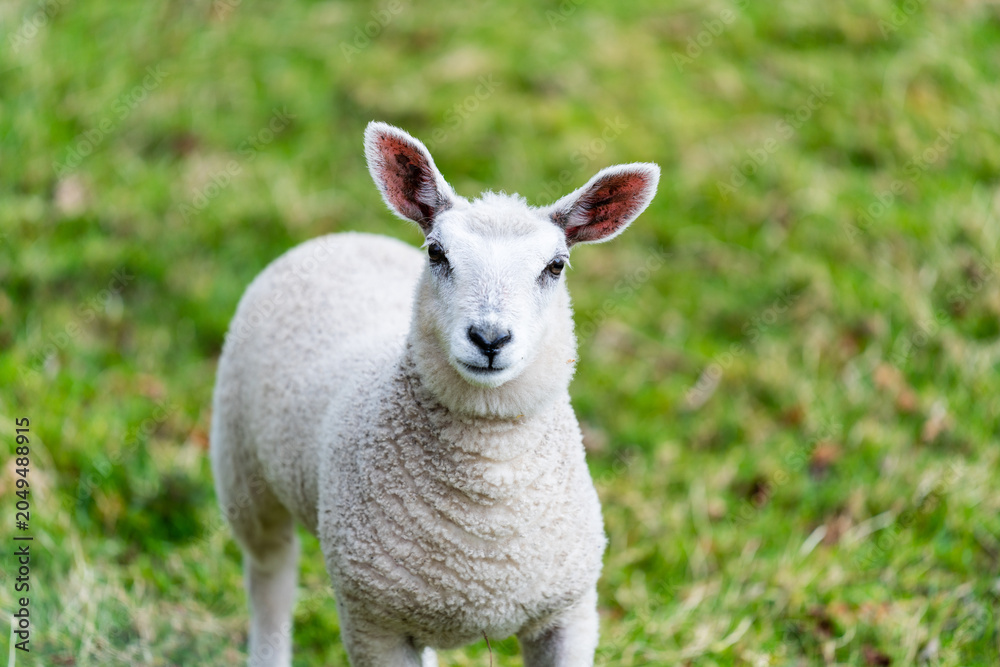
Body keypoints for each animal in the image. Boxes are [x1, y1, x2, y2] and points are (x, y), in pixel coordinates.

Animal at [210, 121, 660, 667]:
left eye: (556, 266)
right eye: (437, 253)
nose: (489, 338)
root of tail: (339, 238)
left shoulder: (568, 614)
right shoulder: (373, 623)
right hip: (242, 471)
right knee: (270, 577)